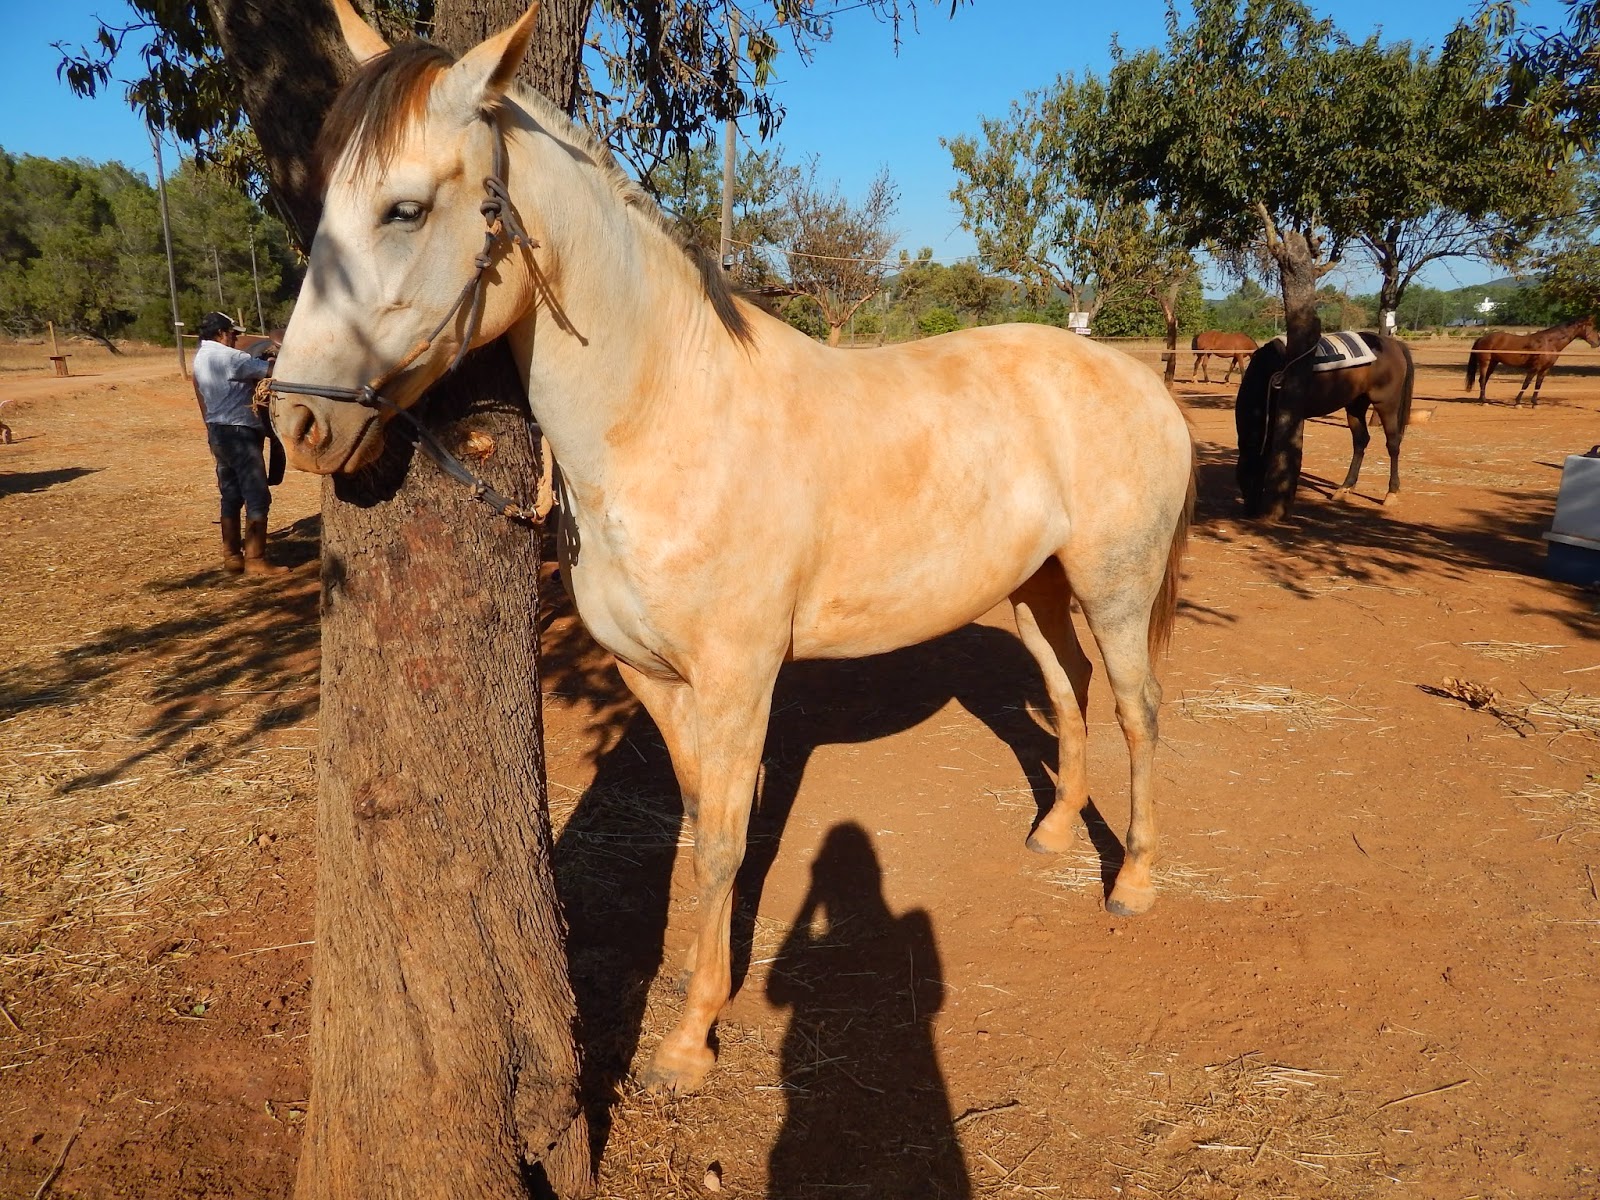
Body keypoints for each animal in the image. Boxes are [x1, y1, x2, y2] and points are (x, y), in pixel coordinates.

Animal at [269, 0, 1196, 1095]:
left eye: (404, 210)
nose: (295, 420)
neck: (669, 417)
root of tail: (1138, 381)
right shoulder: (653, 678)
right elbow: (695, 824)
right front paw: (690, 989)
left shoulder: (740, 678)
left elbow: (720, 842)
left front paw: (688, 1040)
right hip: (1036, 592)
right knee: (1068, 689)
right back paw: (1053, 833)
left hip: (1115, 588)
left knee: (1138, 710)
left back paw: (1132, 880)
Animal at [1235, 332, 1414, 520]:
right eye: (1241, 478)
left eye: (1256, 476)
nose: (1250, 512)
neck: (1269, 371)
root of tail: (1393, 343)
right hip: (1356, 404)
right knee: (1361, 440)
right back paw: (1345, 489)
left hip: (1386, 403)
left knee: (1393, 443)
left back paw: (1391, 493)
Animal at [1466, 315, 1599, 406]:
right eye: (1590, 326)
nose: (1597, 342)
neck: (1549, 343)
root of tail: (1481, 338)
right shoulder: (1535, 367)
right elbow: (1526, 383)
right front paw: (1518, 402)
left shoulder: (1545, 369)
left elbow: (1538, 385)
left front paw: (1534, 403)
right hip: (1485, 362)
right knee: (1483, 379)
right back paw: (1484, 401)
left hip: (1493, 363)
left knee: (1483, 380)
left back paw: (1482, 399)